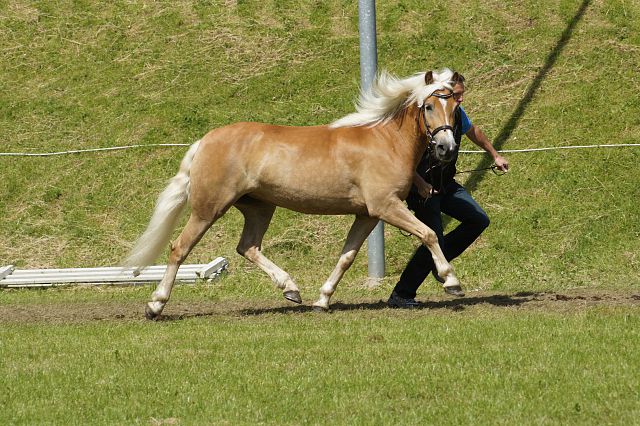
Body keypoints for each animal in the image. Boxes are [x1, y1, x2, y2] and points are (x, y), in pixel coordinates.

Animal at [127, 67, 462, 320]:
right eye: (429, 106)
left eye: (455, 109)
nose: (446, 149)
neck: (385, 140)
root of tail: (205, 140)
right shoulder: (386, 206)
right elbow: (429, 233)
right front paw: (451, 281)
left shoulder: (367, 215)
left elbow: (346, 257)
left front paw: (322, 300)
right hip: (208, 208)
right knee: (179, 248)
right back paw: (155, 305)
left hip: (259, 207)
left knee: (248, 247)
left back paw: (291, 288)